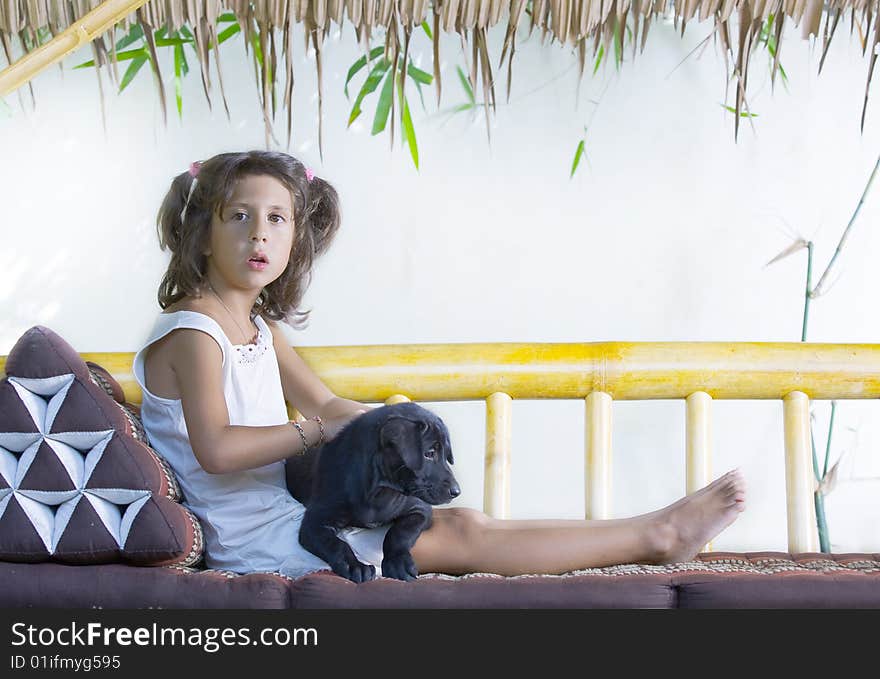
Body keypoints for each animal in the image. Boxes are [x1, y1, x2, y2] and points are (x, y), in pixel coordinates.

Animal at [288, 404, 460, 584]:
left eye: (446, 455)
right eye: (429, 453)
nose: (456, 492)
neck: (380, 492)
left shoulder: (420, 509)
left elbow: (400, 533)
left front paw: (397, 563)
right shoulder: (314, 523)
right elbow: (336, 544)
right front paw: (355, 566)